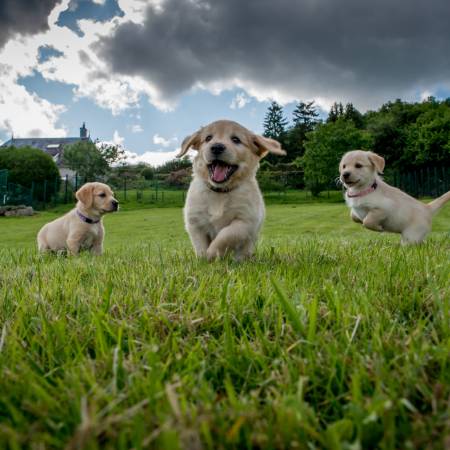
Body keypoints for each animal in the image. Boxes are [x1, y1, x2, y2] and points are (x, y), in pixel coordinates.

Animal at [177, 119, 284, 262]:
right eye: (208, 138)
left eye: (236, 139)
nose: (216, 147)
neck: (220, 192)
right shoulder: (194, 221)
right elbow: (200, 245)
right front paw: (203, 259)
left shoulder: (246, 221)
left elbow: (226, 235)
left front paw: (212, 253)